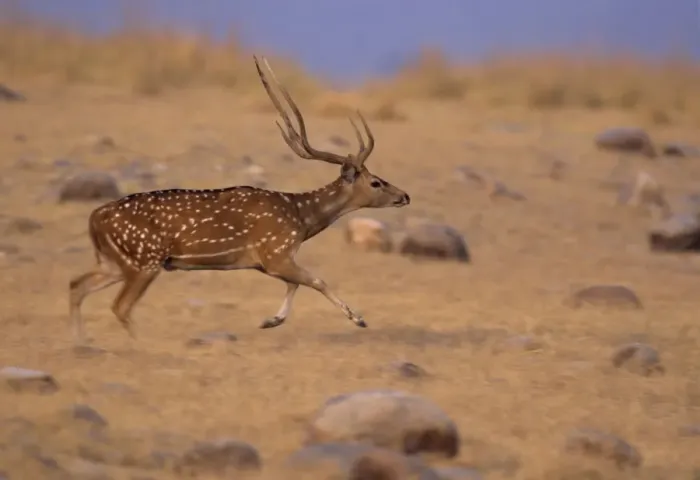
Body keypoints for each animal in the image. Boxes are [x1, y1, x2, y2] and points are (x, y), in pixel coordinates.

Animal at [68, 56, 411, 346]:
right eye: (376, 182)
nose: (405, 195)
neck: (301, 218)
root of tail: (95, 217)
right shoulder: (275, 251)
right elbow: (316, 280)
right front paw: (359, 319)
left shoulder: (266, 261)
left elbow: (296, 284)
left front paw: (271, 320)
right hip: (145, 259)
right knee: (120, 305)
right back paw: (141, 346)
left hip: (115, 261)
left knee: (77, 284)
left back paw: (82, 341)